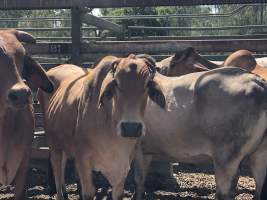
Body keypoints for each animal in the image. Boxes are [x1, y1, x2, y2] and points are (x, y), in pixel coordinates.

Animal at [38, 54, 165, 200]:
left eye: (147, 84)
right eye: (116, 83)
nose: (131, 128)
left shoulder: (124, 163)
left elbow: (118, 193)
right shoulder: (83, 158)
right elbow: (88, 192)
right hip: (53, 144)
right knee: (57, 171)